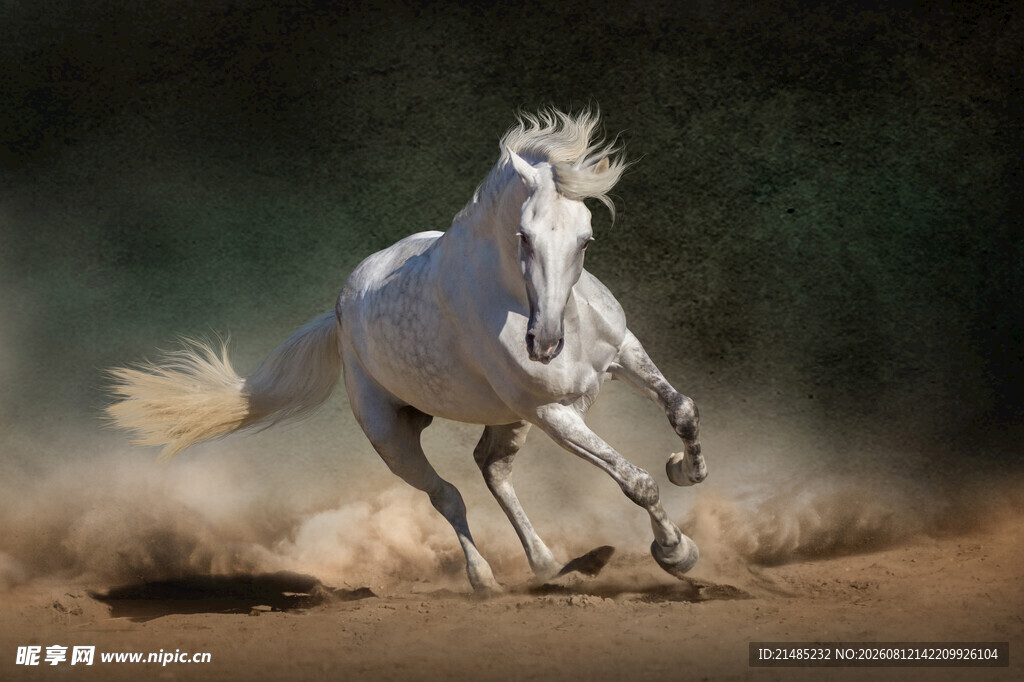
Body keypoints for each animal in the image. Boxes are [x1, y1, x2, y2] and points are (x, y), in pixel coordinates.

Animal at [106, 108, 707, 592]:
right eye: (523, 236)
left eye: (585, 239)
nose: (545, 344)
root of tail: (341, 311)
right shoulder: (553, 412)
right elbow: (636, 480)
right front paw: (676, 553)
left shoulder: (622, 353)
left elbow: (681, 409)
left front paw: (687, 469)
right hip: (393, 435)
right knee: (449, 495)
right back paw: (488, 580)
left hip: (505, 417)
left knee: (491, 469)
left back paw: (552, 565)